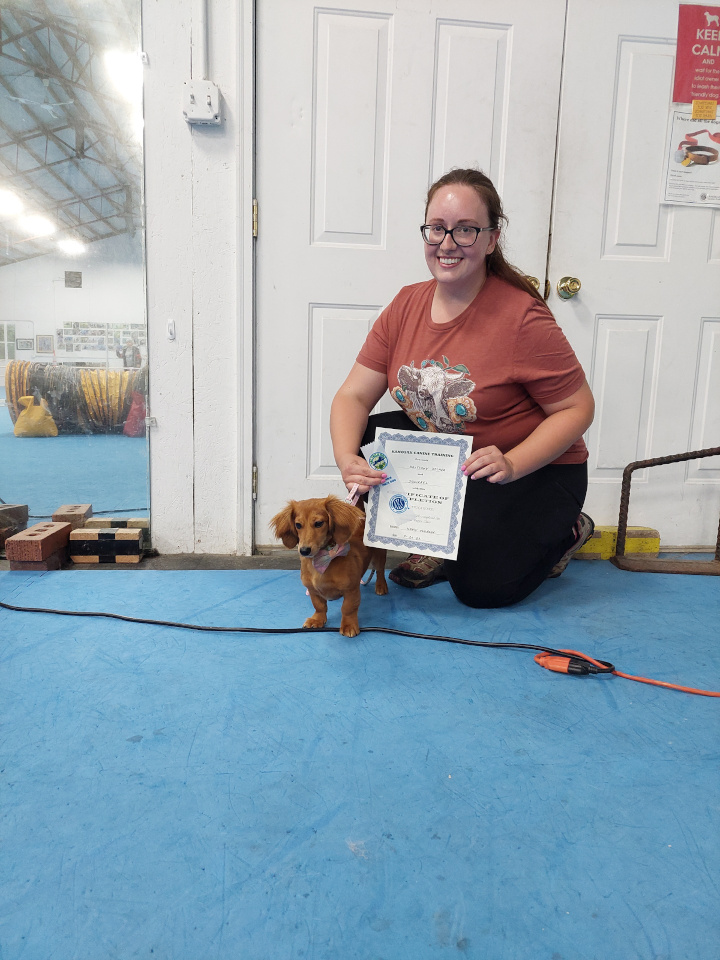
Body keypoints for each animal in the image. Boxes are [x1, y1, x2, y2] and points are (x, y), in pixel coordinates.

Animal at [272, 496, 388, 636]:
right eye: (298, 525)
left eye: (318, 523)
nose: (304, 550)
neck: (322, 560)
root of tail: (363, 517)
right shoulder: (312, 590)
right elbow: (319, 606)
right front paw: (317, 620)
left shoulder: (351, 590)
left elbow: (348, 608)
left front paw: (349, 625)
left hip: (378, 556)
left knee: (380, 571)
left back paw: (381, 586)